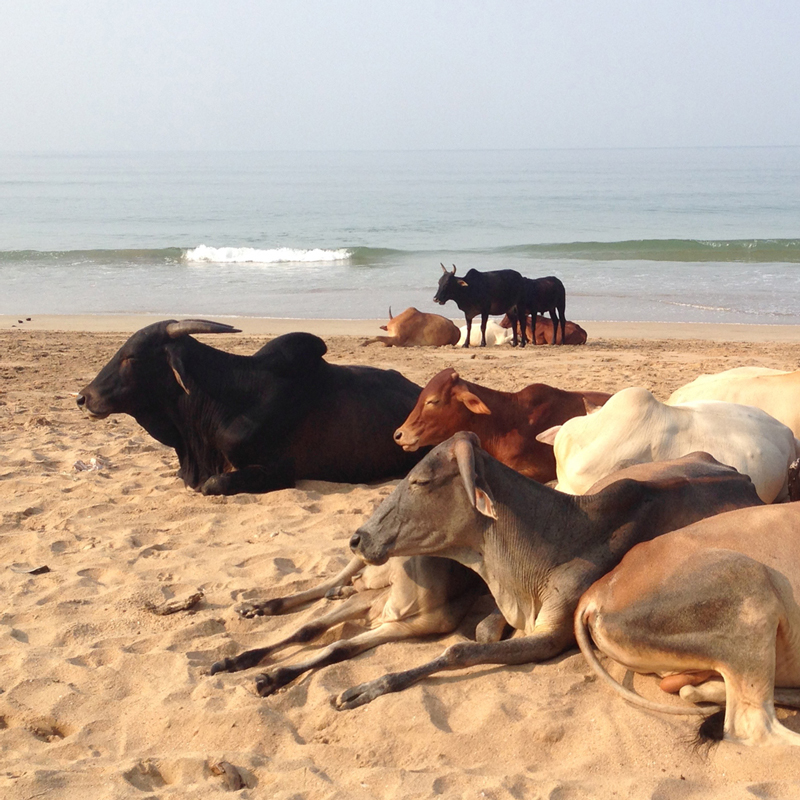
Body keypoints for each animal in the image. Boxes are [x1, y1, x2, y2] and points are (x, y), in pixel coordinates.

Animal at [330, 434, 763, 710]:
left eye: (420, 480)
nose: (357, 538)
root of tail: (745, 476)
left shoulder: (551, 637)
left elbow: (460, 649)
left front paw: (367, 688)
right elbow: (482, 632)